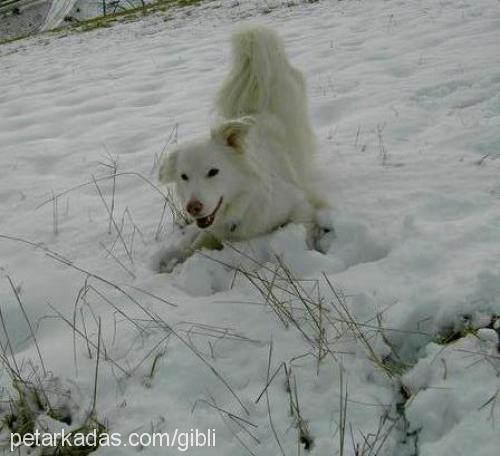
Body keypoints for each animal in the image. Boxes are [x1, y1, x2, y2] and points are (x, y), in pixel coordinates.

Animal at [158, 24, 334, 270]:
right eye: (184, 177)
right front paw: (175, 261)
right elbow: (197, 243)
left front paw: (312, 251)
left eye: (213, 171)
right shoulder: (214, 228)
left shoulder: (300, 204)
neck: (245, 203)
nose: (192, 207)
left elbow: (304, 228)